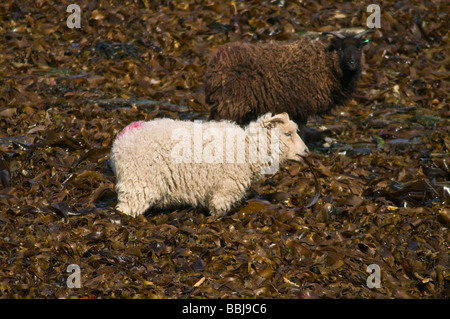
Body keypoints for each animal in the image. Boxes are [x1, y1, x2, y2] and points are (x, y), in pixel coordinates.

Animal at [110, 112, 308, 220]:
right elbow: (218, 210)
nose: (306, 152)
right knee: (126, 209)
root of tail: (123, 137)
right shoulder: (226, 188)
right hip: (137, 182)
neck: (249, 147)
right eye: (288, 134)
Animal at [206, 30, 374, 139]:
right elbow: (302, 129)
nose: (352, 63)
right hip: (230, 103)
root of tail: (216, 61)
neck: (325, 65)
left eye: (359, 48)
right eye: (340, 49)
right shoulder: (303, 105)